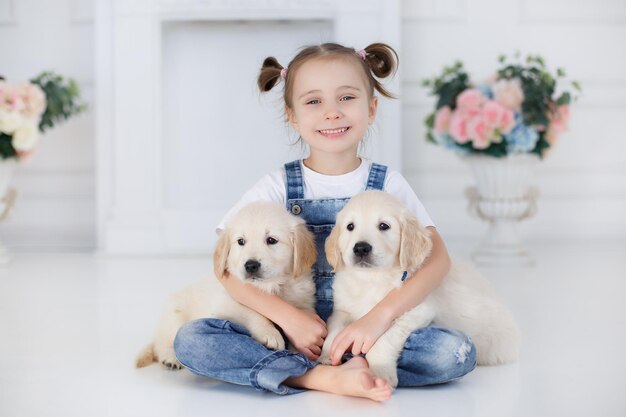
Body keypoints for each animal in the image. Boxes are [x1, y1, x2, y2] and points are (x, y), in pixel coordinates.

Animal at [134, 201, 314, 368]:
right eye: (241, 241)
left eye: (271, 240)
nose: (251, 265)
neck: (272, 285)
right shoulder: (226, 302)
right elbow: (254, 312)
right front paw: (270, 333)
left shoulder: (304, 301)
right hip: (174, 316)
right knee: (162, 343)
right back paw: (170, 358)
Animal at [320, 190, 520, 386]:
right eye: (350, 227)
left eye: (384, 226)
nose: (361, 248)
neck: (371, 279)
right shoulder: (341, 309)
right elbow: (334, 329)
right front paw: (325, 355)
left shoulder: (417, 310)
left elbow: (383, 340)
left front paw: (380, 372)